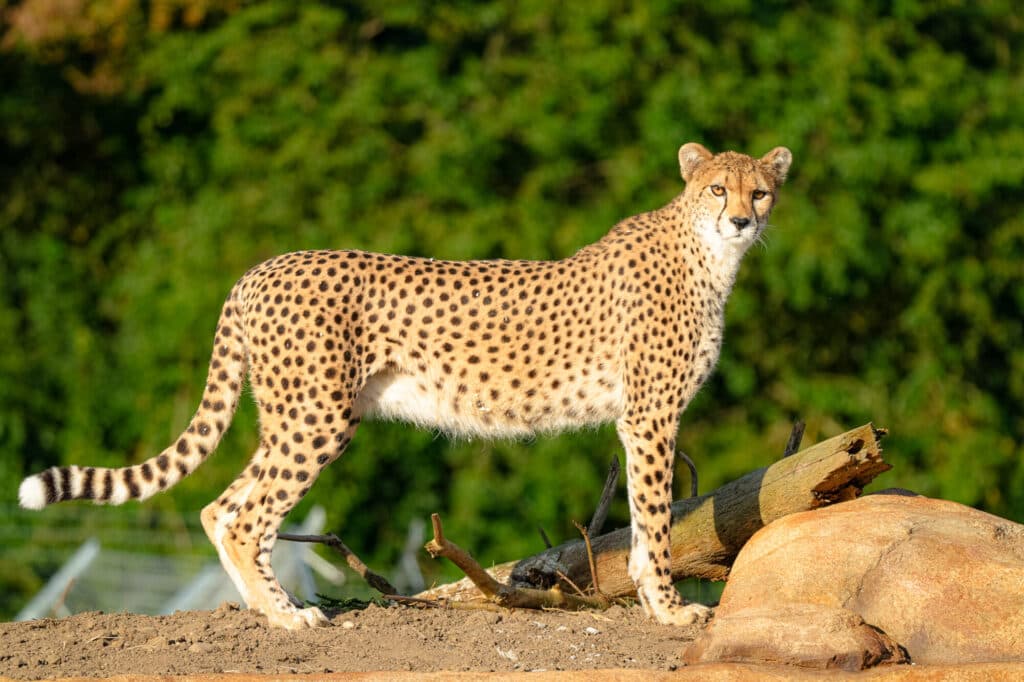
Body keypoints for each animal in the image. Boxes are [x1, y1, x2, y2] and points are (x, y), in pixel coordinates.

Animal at [19, 142, 792, 630]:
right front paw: (670, 609)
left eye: (761, 191)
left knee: (221, 505)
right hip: (318, 416)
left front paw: (654, 601)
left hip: (290, 416)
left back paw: (263, 608)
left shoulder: (640, 421)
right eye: (717, 188)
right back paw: (287, 618)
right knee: (245, 515)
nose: (742, 219)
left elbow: (641, 519)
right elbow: (655, 519)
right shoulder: (651, 417)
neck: (706, 251)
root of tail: (259, 268)